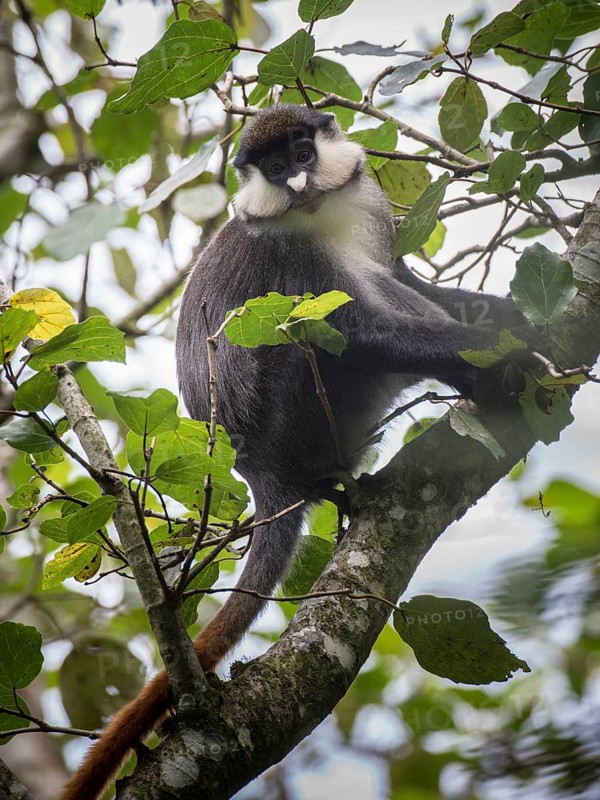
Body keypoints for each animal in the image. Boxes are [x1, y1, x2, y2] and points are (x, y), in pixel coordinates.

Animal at [60, 105, 540, 800]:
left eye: (304, 153)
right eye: (275, 166)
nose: (296, 182)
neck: (319, 217)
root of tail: (263, 473)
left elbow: (405, 280)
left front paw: (510, 318)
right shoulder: (293, 260)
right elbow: (354, 328)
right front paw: (505, 354)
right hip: (298, 411)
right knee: (324, 337)